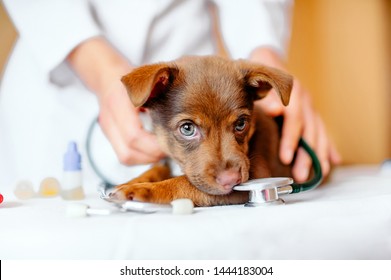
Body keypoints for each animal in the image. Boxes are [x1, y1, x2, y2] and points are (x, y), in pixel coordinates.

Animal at [113, 55, 294, 207]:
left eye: (241, 123)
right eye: (187, 128)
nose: (231, 180)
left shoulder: (256, 176)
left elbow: (183, 183)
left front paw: (143, 189)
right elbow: (157, 168)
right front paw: (132, 182)